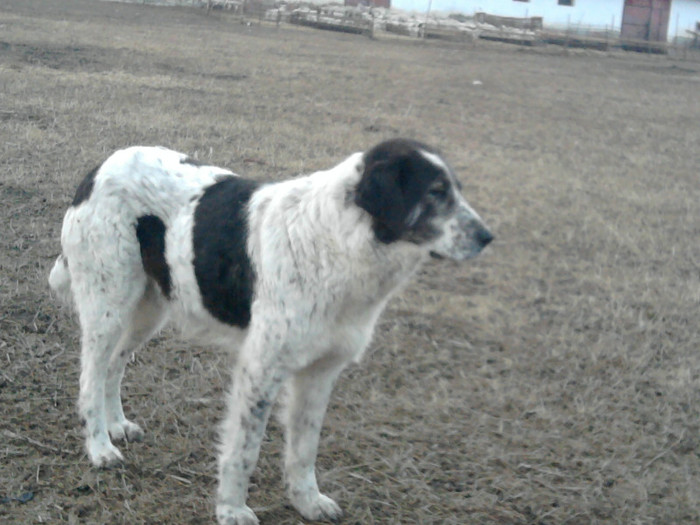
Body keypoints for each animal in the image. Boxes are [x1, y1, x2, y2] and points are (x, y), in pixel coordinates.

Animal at [49, 139, 492, 524]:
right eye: (435, 192)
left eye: (456, 190)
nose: (488, 237)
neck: (339, 241)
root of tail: (98, 169)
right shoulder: (261, 368)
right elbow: (243, 450)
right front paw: (231, 510)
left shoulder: (319, 373)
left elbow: (304, 448)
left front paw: (307, 502)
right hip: (108, 307)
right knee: (90, 378)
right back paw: (99, 446)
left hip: (147, 309)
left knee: (114, 367)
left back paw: (117, 426)